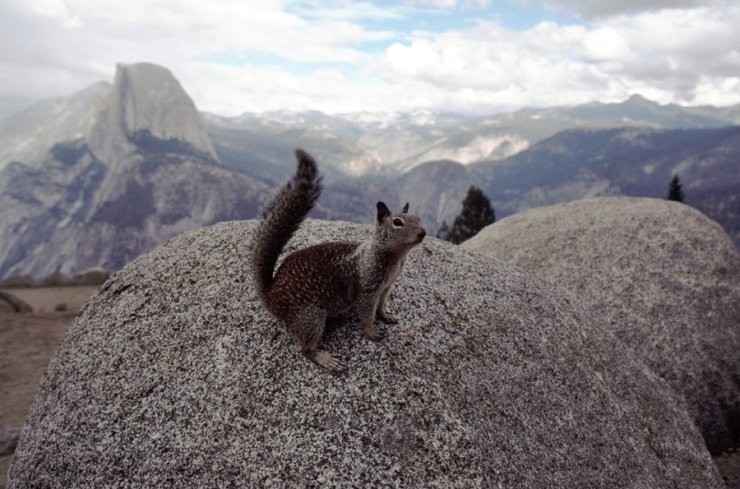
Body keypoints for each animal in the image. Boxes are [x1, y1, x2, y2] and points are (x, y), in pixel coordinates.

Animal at [251, 149, 428, 370]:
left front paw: (385, 316)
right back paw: (325, 359)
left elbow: (380, 305)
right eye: (397, 222)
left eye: (418, 218)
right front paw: (372, 331)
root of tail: (270, 295)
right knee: (305, 349)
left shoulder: (386, 287)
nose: (423, 233)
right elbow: (366, 312)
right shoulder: (367, 289)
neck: (394, 257)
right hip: (311, 316)